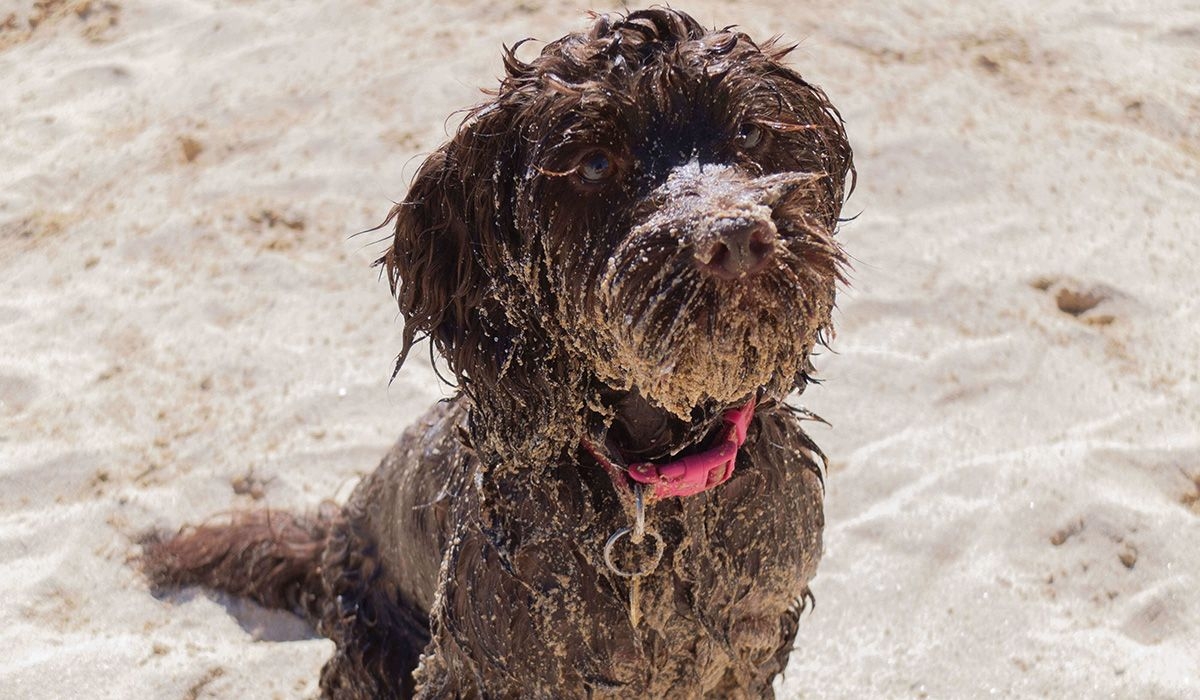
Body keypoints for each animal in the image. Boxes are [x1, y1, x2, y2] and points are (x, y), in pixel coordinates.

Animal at [142, 8, 854, 696]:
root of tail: (337, 530)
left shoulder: (751, 644)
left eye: (750, 134)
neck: (652, 483)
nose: (735, 237)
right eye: (595, 164)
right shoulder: (474, 668)